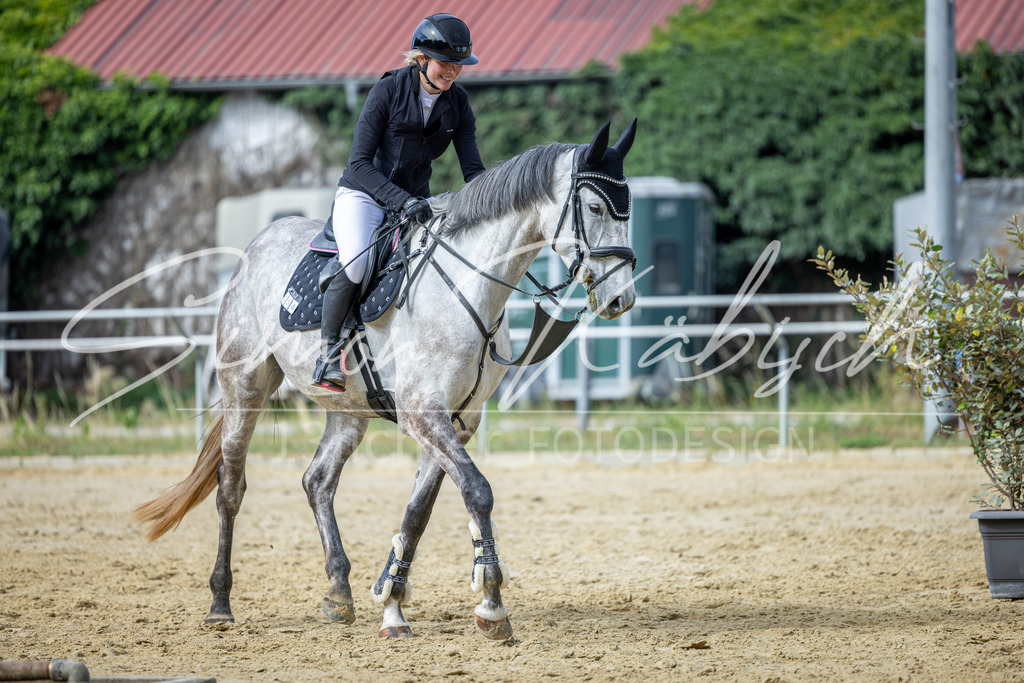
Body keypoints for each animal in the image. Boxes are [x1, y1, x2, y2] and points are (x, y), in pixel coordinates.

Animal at [134, 120, 639, 641]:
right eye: (595, 208)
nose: (620, 299)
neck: (467, 286)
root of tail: (256, 246)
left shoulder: (458, 421)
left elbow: (419, 511)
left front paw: (393, 602)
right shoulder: (423, 413)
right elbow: (477, 491)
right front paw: (492, 604)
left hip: (348, 410)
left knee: (318, 481)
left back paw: (339, 593)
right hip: (245, 387)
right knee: (230, 488)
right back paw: (220, 603)